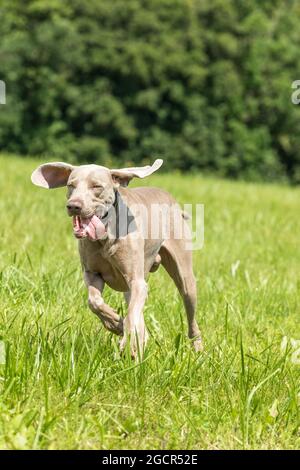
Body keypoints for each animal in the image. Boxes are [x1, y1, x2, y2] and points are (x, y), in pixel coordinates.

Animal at [31, 160, 203, 358]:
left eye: (96, 186)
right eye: (71, 185)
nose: (73, 206)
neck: (106, 235)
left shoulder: (137, 282)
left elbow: (131, 315)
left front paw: (127, 338)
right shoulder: (92, 274)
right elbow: (94, 302)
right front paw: (115, 323)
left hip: (185, 279)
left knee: (190, 318)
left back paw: (197, 349)